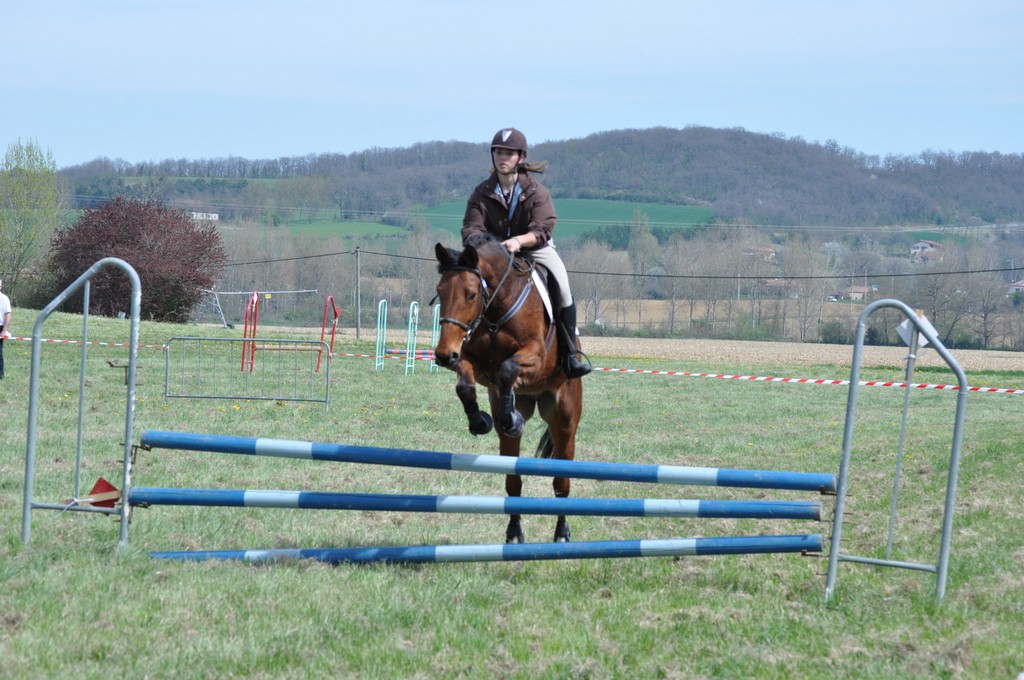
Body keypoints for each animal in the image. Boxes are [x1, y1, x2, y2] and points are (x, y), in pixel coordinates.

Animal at [432, 236, 585, 544]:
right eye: (440, 292)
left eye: (470, 295)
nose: (443, 355)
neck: (497, 307)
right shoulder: (470, 359)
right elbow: (465, 385)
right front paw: (481, 421)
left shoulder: (535, 355)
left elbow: (507, 368)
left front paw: (508, 417)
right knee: (513, 481)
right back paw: (514, 532)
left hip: (564, 420)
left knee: (561, 482)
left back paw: (562, 533)